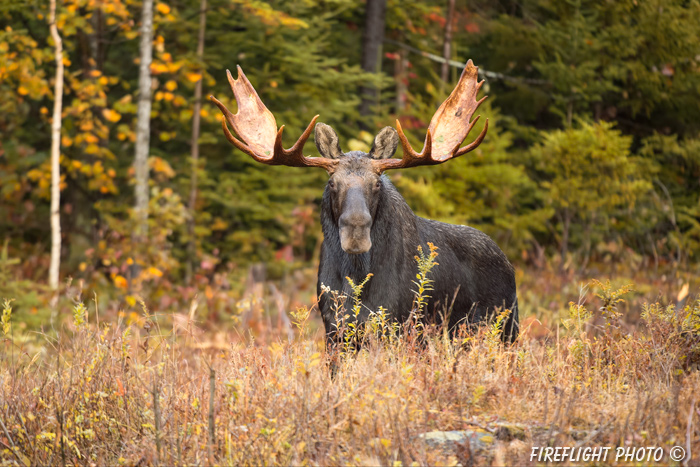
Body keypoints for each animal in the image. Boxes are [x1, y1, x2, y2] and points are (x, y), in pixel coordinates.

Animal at [212, 59, 520, 348]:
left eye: (376, 183)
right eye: (332, 183)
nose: (356, 231)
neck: (355, 277)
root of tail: (509, 264)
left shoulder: (397, 325)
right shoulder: (334, 329)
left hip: (504, 327)